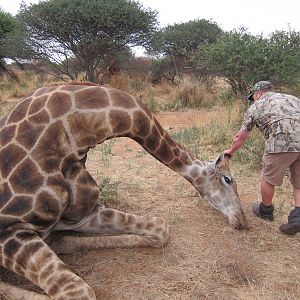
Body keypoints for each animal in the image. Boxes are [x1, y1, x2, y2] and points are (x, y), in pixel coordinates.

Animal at [0, 81, 248, 298]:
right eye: (228, 179)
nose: (243, 221)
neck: (71, 136)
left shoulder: (82, 214)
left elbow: (161, 229)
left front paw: (60, 241)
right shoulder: (9, 232)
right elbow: (79, 292)